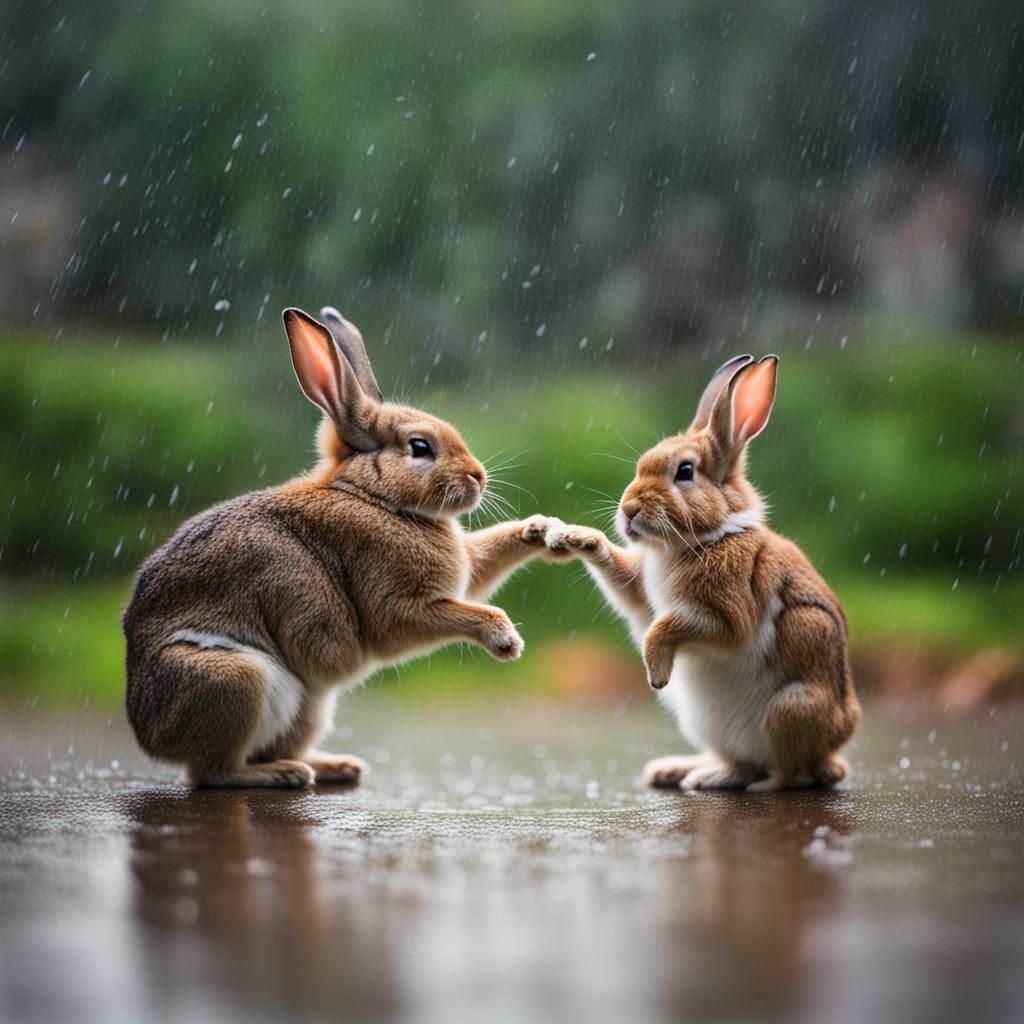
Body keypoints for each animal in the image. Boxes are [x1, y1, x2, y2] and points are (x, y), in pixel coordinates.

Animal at [123, 305, 562, 788]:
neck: (374, 497)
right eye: (420, 446)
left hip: (309, 704)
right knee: (211, 772)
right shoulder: (399, 607)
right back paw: (285, 775)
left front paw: (543, 530)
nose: (478, 477)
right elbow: (466, 612)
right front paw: (506, 641)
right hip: (236, 680)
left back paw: (336, 766)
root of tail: (148, 734)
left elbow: (485, 558)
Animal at [534, 354, 861, 791]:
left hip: (789, 711)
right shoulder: (642, 595)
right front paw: (573, 536)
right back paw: (685, 772)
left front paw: (656, 673)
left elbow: (671, 627)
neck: (704, 539)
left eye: (685, 471)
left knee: (792, 771)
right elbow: (623, 581)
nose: (628, 510)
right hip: (707, 725)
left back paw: (748, 784)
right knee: (743, 763)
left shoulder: (726, 613)